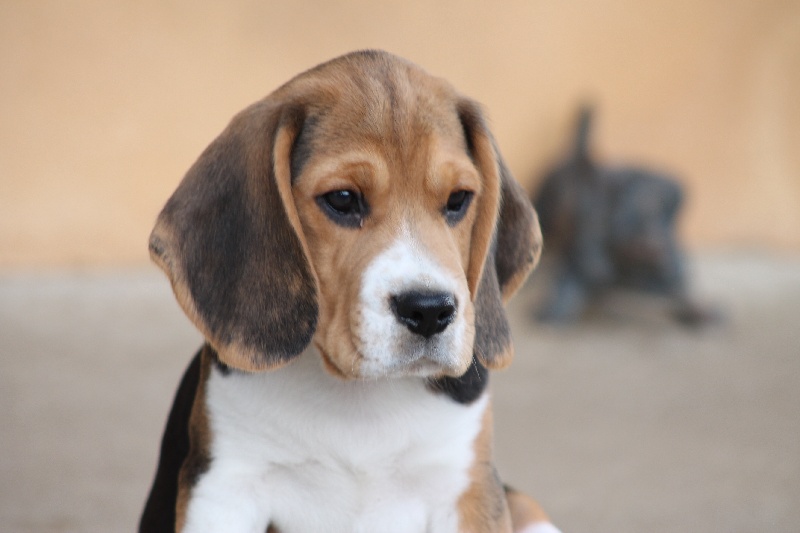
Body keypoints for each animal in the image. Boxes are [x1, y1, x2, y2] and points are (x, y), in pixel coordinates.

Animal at [139, 50, 556, 532]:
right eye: (342, 199)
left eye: (458, 200)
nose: (429, 310)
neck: (358, 400)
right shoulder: (225, 485)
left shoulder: (466, 485)